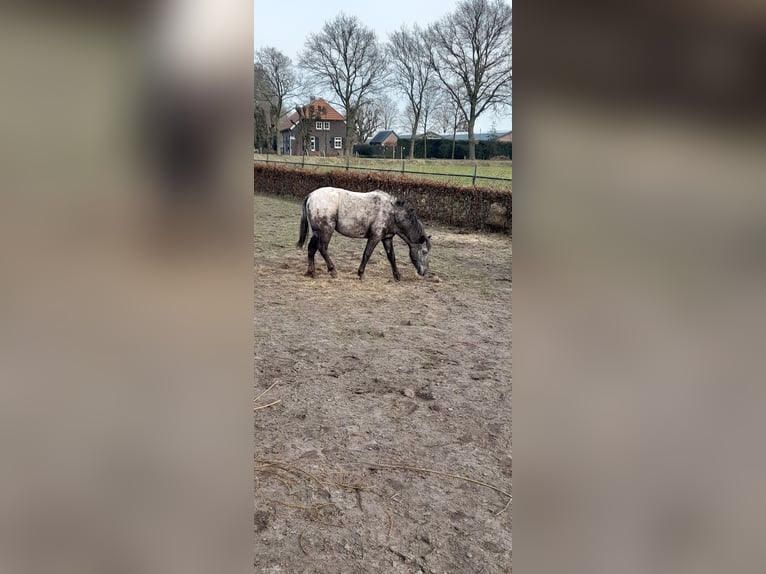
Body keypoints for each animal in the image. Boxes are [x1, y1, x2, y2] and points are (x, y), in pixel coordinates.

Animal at [296, 188, 432, 280]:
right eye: (424, 252)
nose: (424, 272)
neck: (392, 212)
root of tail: (311, 195)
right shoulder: (375, 237)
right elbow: (367, 254)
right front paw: (361, 273)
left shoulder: (387, 238)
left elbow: (392, 257)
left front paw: (397, 275)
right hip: (326, 231)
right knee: (322, 248)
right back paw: (332, 270)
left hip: (317, 232)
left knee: (311, 248)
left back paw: (311, 272)